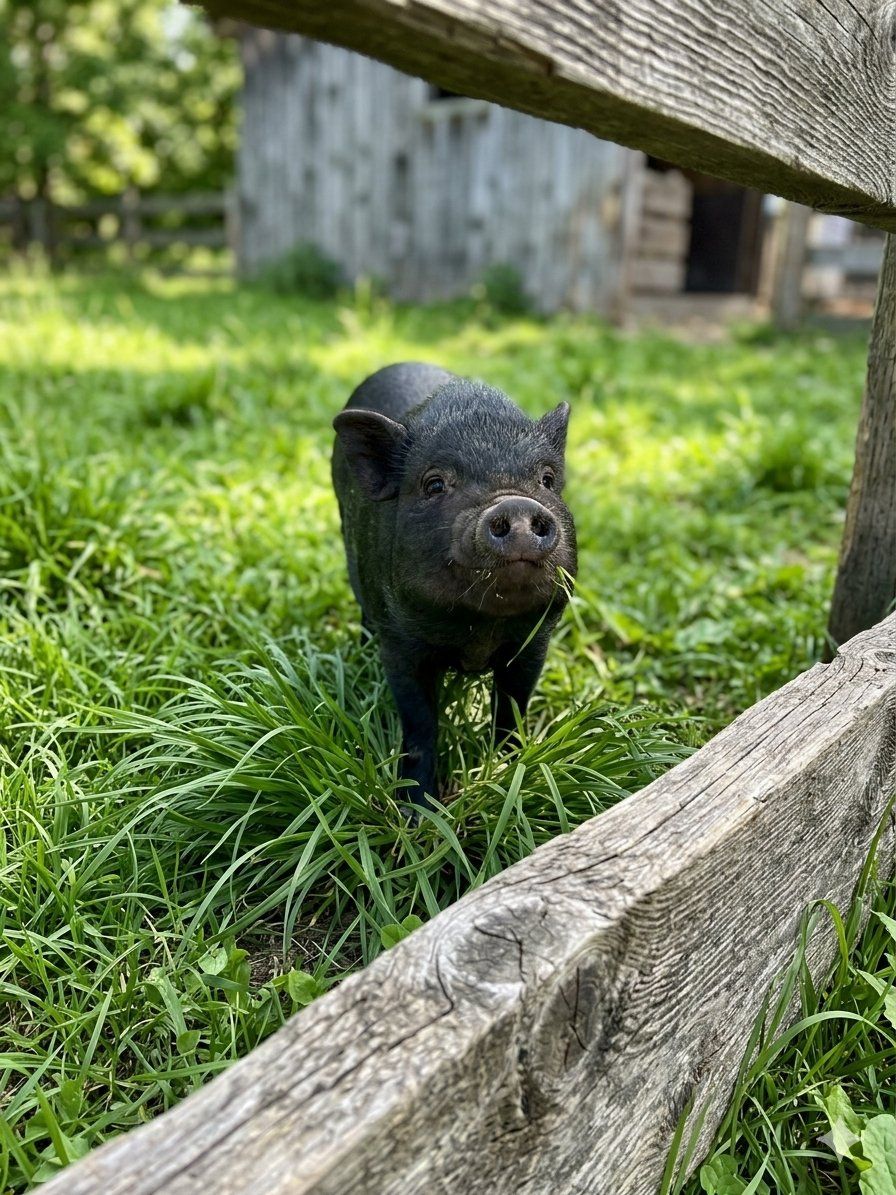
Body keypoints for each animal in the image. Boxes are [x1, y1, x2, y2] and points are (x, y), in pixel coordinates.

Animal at [332, 361, 577, 810]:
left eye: (547, 480)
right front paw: (417, 814)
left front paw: (509, 772)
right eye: (434, 484)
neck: (478, 633)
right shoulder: (401, 647)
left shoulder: (533, 644)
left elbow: (511, 710)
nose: (516, 504)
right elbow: (420, 728)